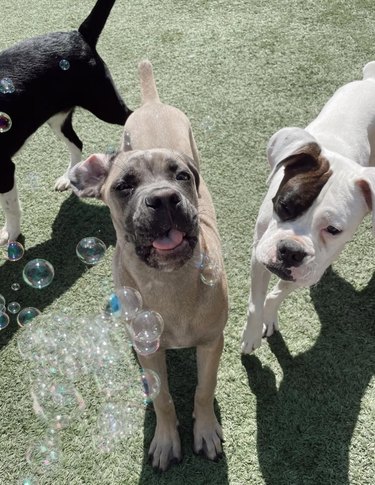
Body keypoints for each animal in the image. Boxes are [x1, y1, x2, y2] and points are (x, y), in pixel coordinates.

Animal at [0, 0, 132, 242]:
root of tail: (79, 34)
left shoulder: (4, 168)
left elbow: (10, 207)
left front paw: (10, 234)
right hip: (58, 119)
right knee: (77, 142)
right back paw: (67, 177)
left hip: (105, 105)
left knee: (133, 116)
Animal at [70, 60, 229, 468]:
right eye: (123, 186)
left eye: (181, 176)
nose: (164, 199)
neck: (169, 283)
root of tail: (152, 103)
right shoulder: (149, 349)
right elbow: (162, 399)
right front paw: (166, 438)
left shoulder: (212, 342)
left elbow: (204, 389)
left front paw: (205, 429)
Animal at [242, 62, 375, 354]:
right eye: (283, 205)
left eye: (333, 230)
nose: (291, 251)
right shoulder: (259, 253)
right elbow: (255, 303)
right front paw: (252, 335)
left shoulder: (311, 270)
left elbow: (276, 294)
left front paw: (269, 314)